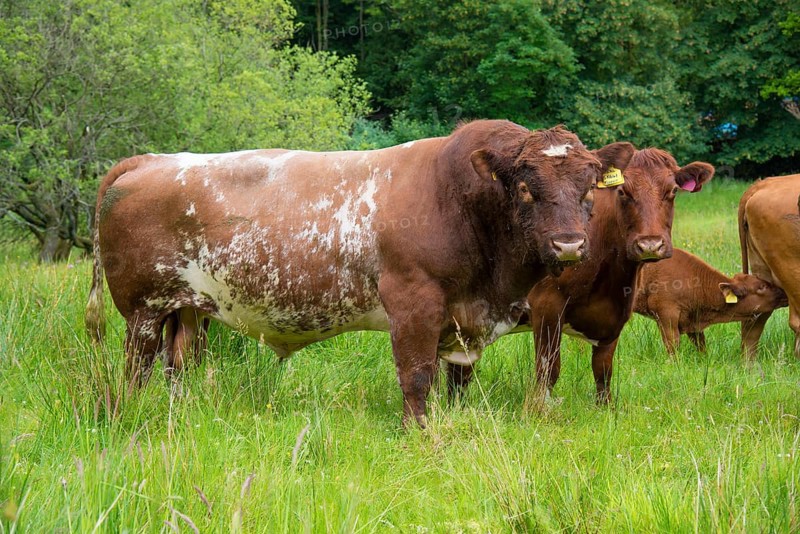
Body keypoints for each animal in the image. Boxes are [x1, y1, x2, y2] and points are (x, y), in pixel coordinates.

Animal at [84, 120, 635, 427]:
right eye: (524, 187)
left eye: (590, 185)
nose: (569, 244)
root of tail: (148, 160)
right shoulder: (414, 302)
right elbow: (416, 377)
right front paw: (418, 435)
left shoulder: (462, 320)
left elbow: (454, 381)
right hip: (143, 311)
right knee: (136, 369)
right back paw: (131, 413)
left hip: (185, 310)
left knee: (176, 366)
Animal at [492, 148, 714, 404]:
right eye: (622, 191)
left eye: (673, 191)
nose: (650, 245)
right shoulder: (546, 306)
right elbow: (548, 370)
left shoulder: (616, 313)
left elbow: (603, 372)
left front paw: (605, 407)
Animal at [634, 248, 787, 354]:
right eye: (761, 287)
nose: (784, 291)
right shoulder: (666, 316)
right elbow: (673, 347)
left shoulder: (693, 322)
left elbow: (701, 346)